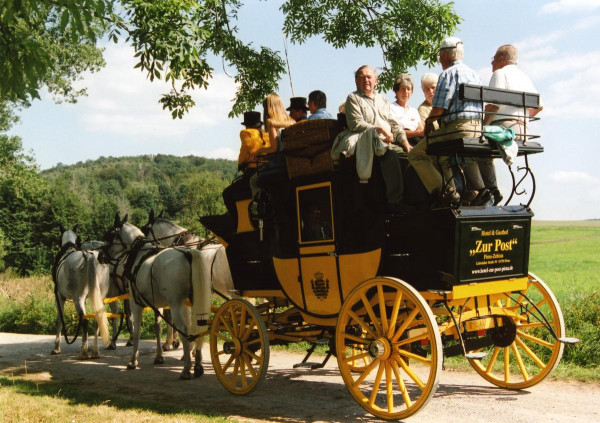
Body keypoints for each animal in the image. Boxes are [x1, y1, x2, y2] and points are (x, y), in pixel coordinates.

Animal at [52, 227, 110, 360]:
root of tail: (88, 257)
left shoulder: (59, 296)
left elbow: (59, 320)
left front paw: (56, 348)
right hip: (99, 298)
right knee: (96, 320)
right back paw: (95, 352)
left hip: (77, 298)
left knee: (85, 321)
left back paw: (83, 353)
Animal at [104, 214, 212, 380]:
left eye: (110, 235)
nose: (100, 255)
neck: (139, 255)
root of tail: (189, 254)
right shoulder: (157, 303)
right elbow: (158, 327)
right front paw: (159, 356)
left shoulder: (136, 303)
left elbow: (137, 330)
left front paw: (133, 361)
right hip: (192, 302)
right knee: (197, 327)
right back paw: (198, 366)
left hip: (176, 304)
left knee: (184, 328)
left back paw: (186, 369)